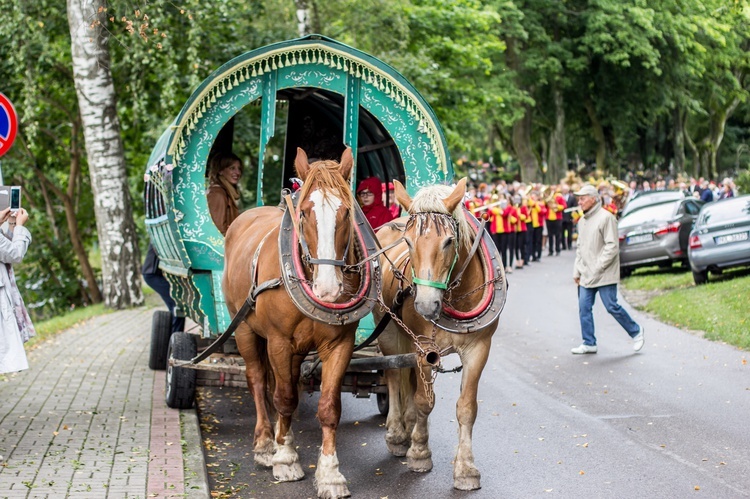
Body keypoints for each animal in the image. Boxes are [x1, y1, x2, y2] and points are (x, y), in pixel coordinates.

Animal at [222, 148, 362, 499]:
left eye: (346, 213)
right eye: (305, 213)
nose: (328, 288)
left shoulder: (340, 344)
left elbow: (328, 407)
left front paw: (330, 475)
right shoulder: (278, 341)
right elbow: (283, 398)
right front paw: (285, 458)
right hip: (244, 329)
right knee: (259, 380)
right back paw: (264, 443)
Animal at [374, 180, 506, 492]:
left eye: (447, 241)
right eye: (409, 242)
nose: (424, 305)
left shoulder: (479, 348)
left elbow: (467, 408)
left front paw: (466, 469)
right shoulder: (424, 348)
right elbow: (425, 401)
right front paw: (420, 453)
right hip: (389, 331)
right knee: (393, 376)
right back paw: (398, 434)